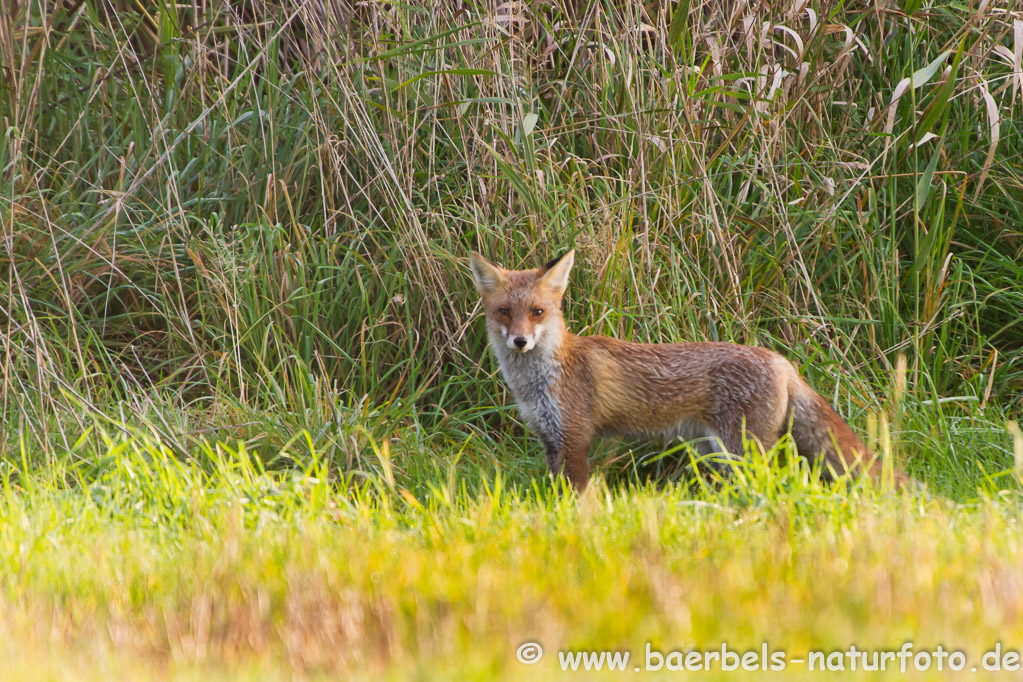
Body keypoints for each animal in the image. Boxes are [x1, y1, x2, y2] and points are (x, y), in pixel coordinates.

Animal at [470, 249, 912, 490]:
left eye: (537, 312)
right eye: (505, 312)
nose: (520, 341)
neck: (539, 380)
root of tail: (783, 361)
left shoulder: (576, 438)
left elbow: (576, 497)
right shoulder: (550, 438)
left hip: (742, 451)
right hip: (719, 453)